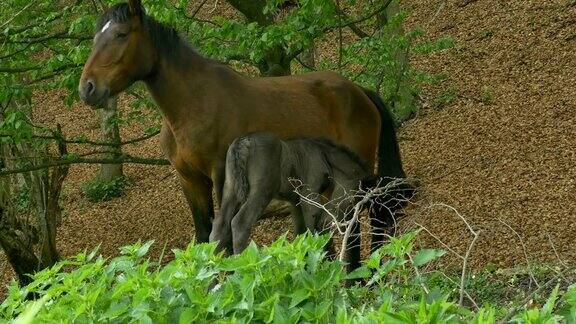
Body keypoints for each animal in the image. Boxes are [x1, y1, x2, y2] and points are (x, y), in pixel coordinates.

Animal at [77, 0, 410, 253]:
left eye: (121, 34)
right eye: (95, 38)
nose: (88, 88)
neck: (194, 104)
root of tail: (359, 92)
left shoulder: (221, 176)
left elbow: (222, 237)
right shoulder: (190, 181)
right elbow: (204, 237)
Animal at [209, 132, 372, 270]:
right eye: (353, 200)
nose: (339, 223)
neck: (322, 154)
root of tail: (243, 141)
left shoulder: (295, 202)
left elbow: (300, 233)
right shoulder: (309, 195)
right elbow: (312, 228)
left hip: (230, 189)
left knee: (219, 227)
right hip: (261, 192)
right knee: (240, 224)